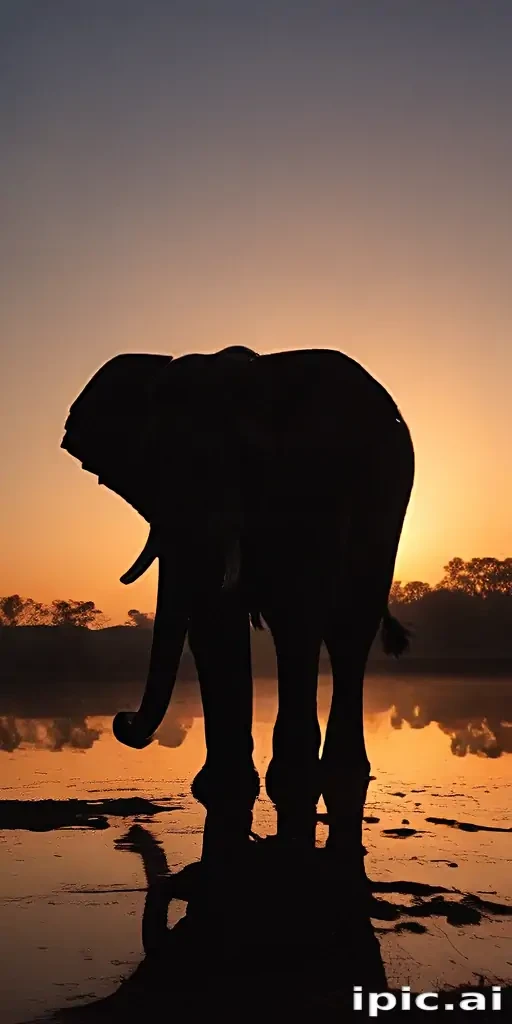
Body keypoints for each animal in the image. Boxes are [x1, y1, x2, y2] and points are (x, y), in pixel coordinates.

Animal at [61, 345, 414, 847]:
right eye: (148, 470)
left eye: (242, 463)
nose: (121, 719)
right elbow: (214, 619)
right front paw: (219, 788)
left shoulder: (313, 482)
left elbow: (294, 611)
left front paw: (291, 784)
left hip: (387, 510)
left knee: (348, 629)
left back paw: (342, 775)